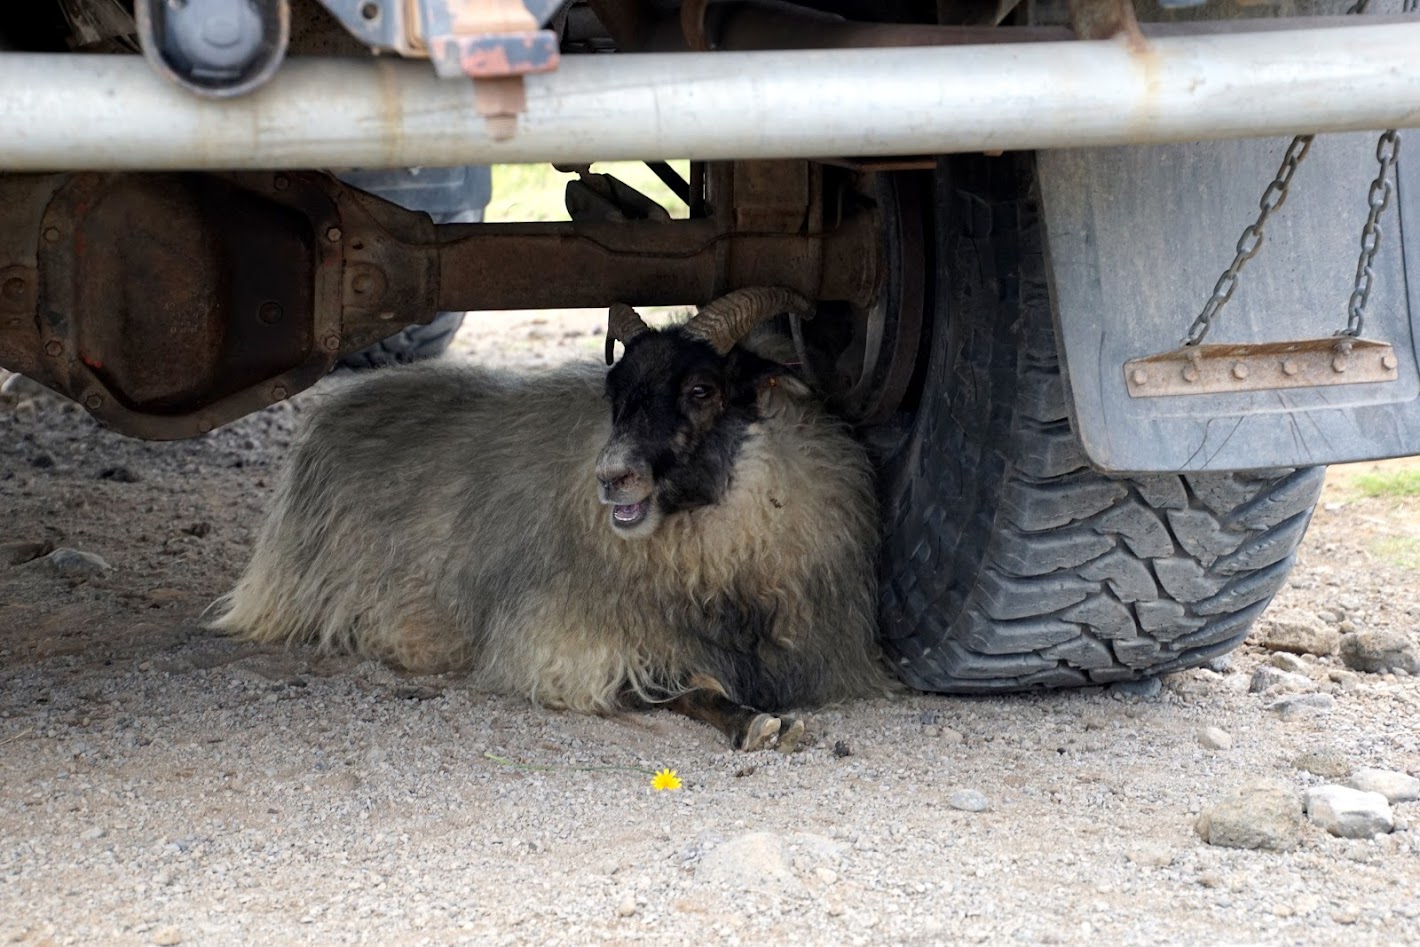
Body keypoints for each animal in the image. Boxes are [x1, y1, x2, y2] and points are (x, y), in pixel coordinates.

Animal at [211, 285, 891, 749]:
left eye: (703, 390)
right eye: (616, 397)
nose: (610, 477)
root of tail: (347, 397)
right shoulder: (568, 649)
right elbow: (680, 687)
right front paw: (754, 722)